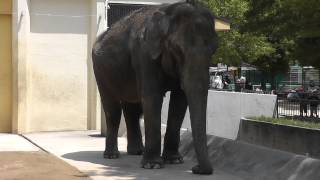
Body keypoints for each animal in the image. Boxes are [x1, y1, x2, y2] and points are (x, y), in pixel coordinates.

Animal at [91, 0, 219, 174]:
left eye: (214, 50)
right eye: (177, 49)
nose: (196, 168)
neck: (168, 12)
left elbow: (179, 101)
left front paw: (174, 160)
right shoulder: (144, 54)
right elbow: (152, 97)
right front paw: (153, 165)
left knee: (132, 108)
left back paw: (136, 152)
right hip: (101, 71)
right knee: (113, 110)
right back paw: (111, 156)